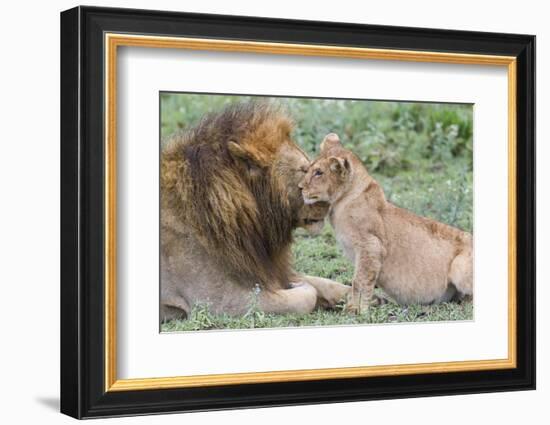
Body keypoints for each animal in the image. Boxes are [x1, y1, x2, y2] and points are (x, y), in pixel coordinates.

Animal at [161, 101, 350, 320]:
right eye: (304, 171)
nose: (330, 202)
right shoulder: (219, 301)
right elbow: (305, 296)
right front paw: (298, 286)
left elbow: (325, 282)